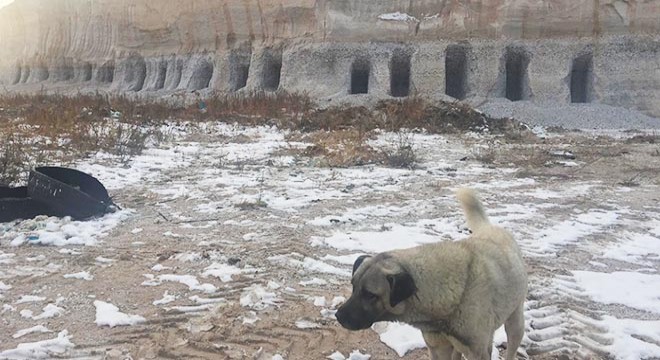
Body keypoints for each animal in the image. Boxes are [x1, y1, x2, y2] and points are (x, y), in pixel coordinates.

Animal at [336, 190, 524, 358]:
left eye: (370, 295)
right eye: (353, 287)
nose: (338, 316)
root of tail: (489, 227)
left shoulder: (478, 351)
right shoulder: (437, 346)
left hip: (515, 322)